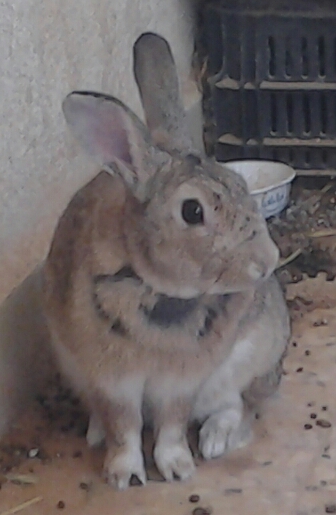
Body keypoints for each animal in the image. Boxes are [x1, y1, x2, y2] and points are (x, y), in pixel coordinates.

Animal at [42, 32, 288, 492]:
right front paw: (124, 475)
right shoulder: (111, 380)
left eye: (241, 184)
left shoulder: (182, 381)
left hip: (246, 362)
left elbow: (172, 424)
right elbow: (124, 426)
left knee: (237, 407)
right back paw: (95, 432)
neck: (154, 285)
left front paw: (177, 467)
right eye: (192, 211)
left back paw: (213, 441)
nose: (267, 262)